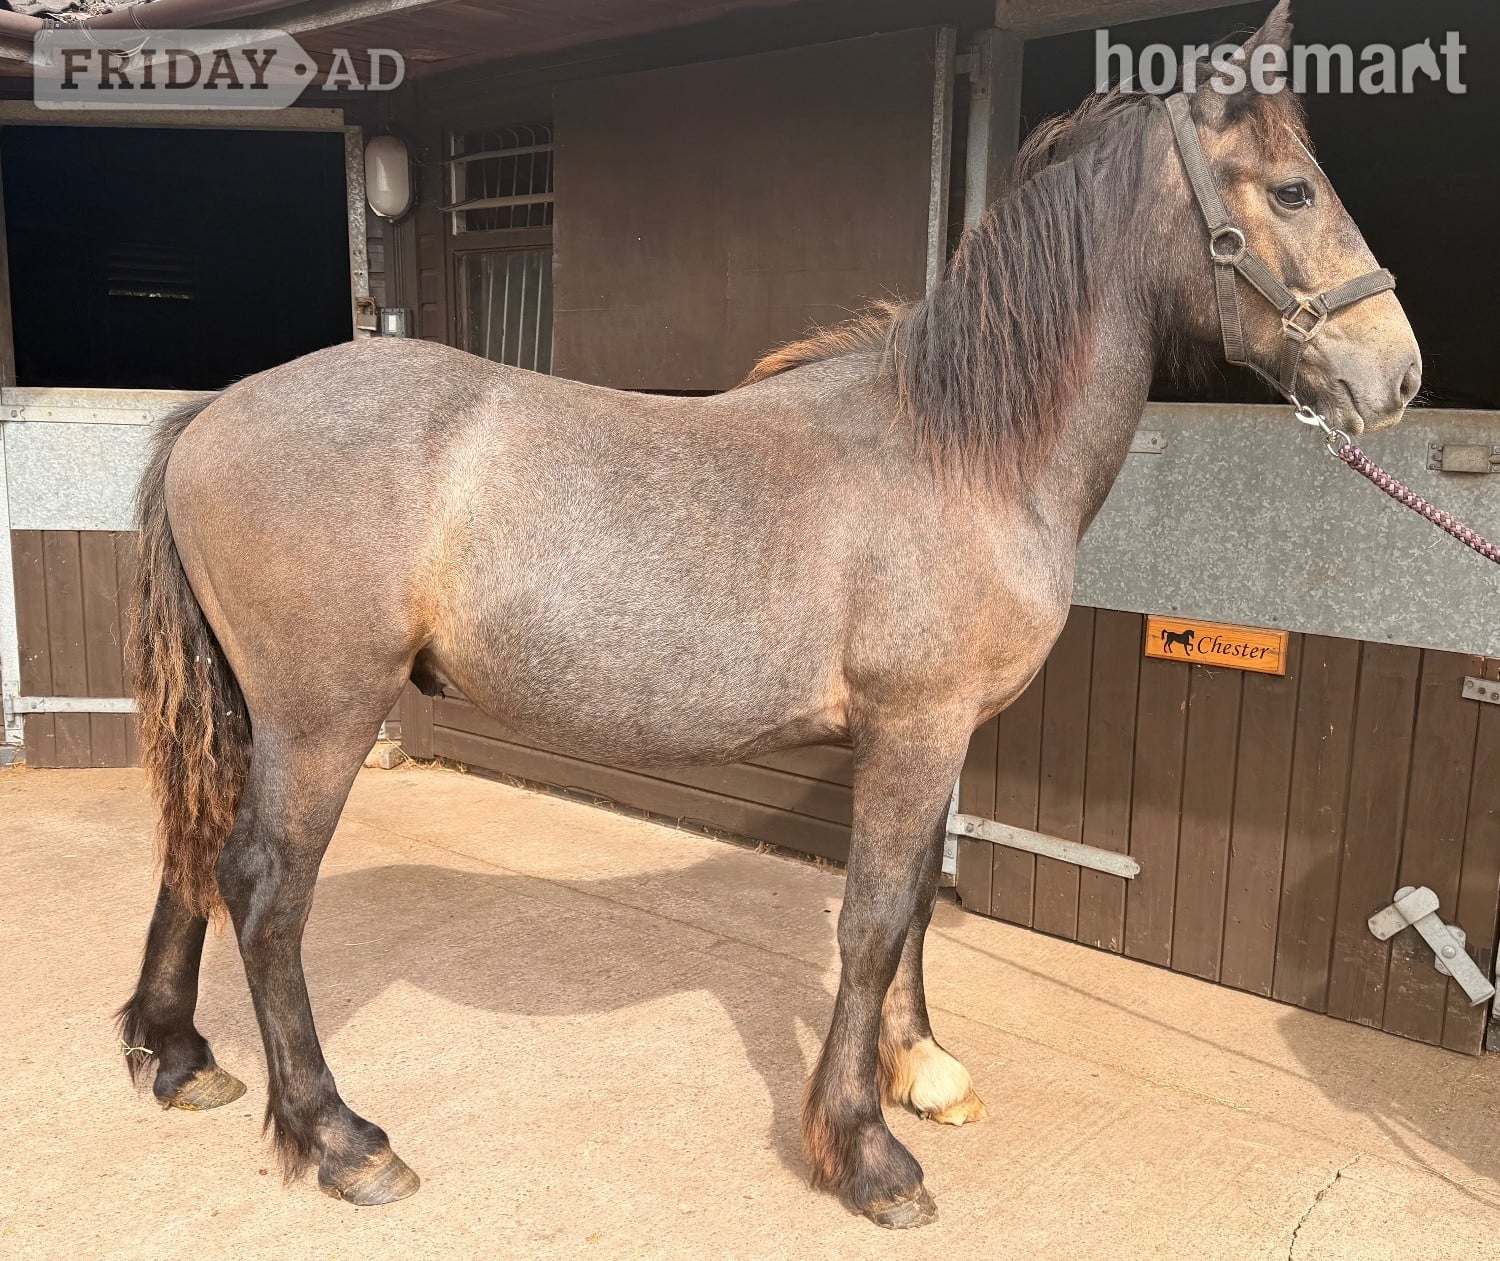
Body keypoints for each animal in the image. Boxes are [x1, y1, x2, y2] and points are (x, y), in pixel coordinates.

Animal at [116, 1, 1419, 1228]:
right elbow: (873, 921)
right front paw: (865, 1152)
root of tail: (213, 415)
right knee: (266, 890)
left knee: (192, 845)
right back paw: (340, 1138)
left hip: (252, 716)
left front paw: (920, 1071)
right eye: (1295, 189)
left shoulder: (936, 735)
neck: (961, 448)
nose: (1397, 374)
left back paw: (176, 1057)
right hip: (322, 719)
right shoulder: (915, 727)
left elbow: (912, 910)